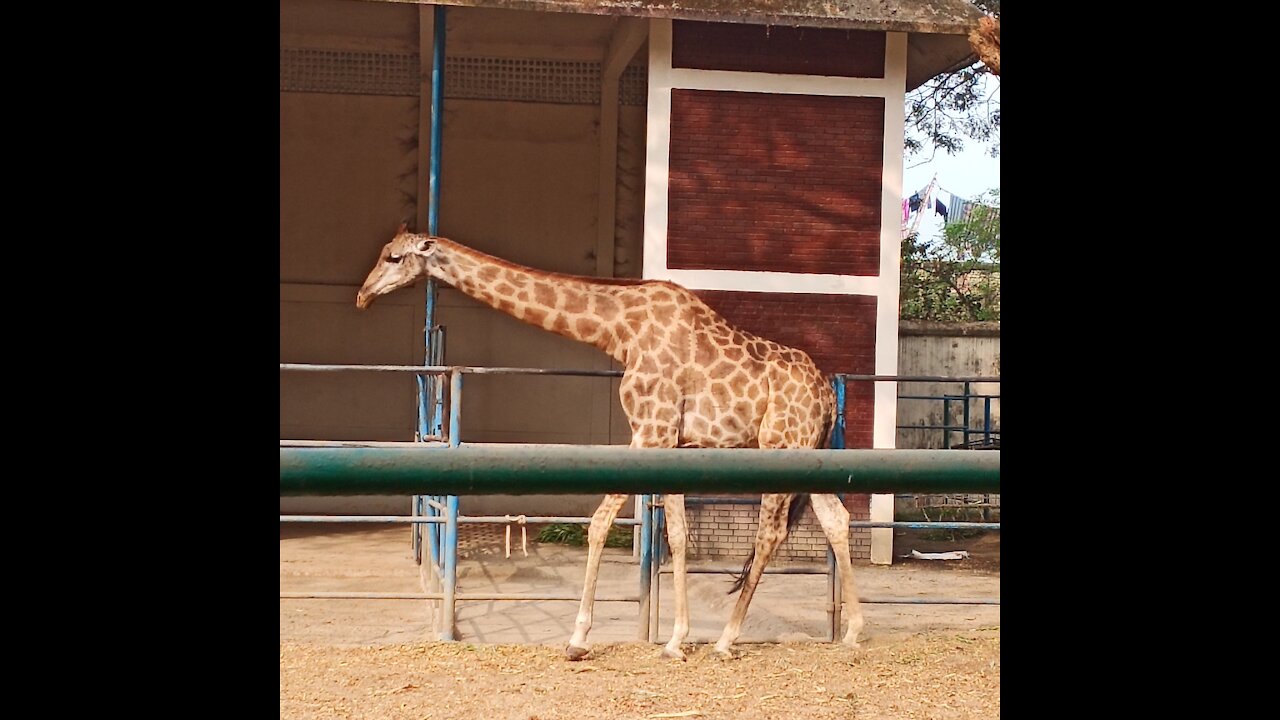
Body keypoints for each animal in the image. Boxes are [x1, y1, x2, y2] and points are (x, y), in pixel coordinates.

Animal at [355, 224, 865, 655]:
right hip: (809, 451)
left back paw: (726, 638)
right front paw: (675, 640)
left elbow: (600, 523)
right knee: (835, 518)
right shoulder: (671, 441)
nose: (362, 295)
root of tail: (827, 395)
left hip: (782, 445)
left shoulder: (650, 431)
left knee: (770, 532)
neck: (619, 331)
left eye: (394, 256)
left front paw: (578, 637)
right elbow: (677, 535)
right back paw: (852, 633)